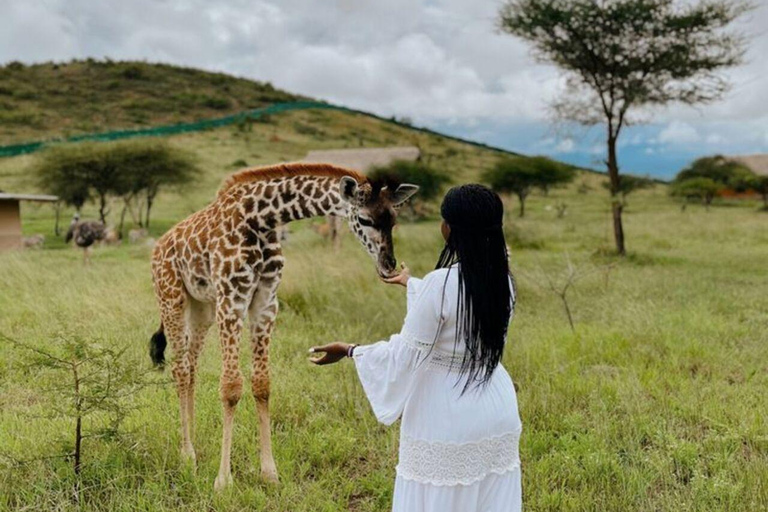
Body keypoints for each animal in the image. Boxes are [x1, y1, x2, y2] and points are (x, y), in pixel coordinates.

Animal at [149, 162, 418, 490]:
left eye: (393, 219)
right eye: (365, 219)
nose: (388, 265)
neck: (262, 219)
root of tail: (158, 246)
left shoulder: (266, 302)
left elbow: (262, 385)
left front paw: (270, 474)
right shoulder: (232, 298)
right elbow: (230, 387)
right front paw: (223, 481)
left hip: (202, 308)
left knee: (191, 367)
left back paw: (194, 445)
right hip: (172, 299)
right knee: (180, 369)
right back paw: (187, 455)